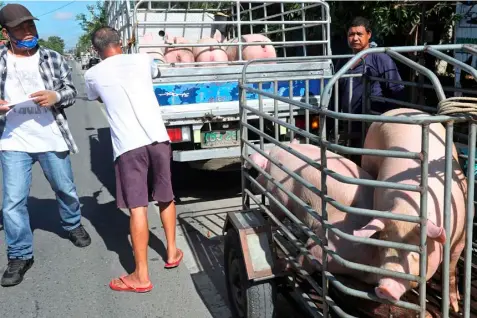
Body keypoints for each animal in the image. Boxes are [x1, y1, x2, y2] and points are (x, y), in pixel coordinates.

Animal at [356, 108, 464, 312]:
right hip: (368, 155)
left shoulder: (461, 235)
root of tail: (398, 110)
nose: (385, 288)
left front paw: (454, 307)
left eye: (414, 253)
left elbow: (451, 268)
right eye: (383, 246)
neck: (408, 210)